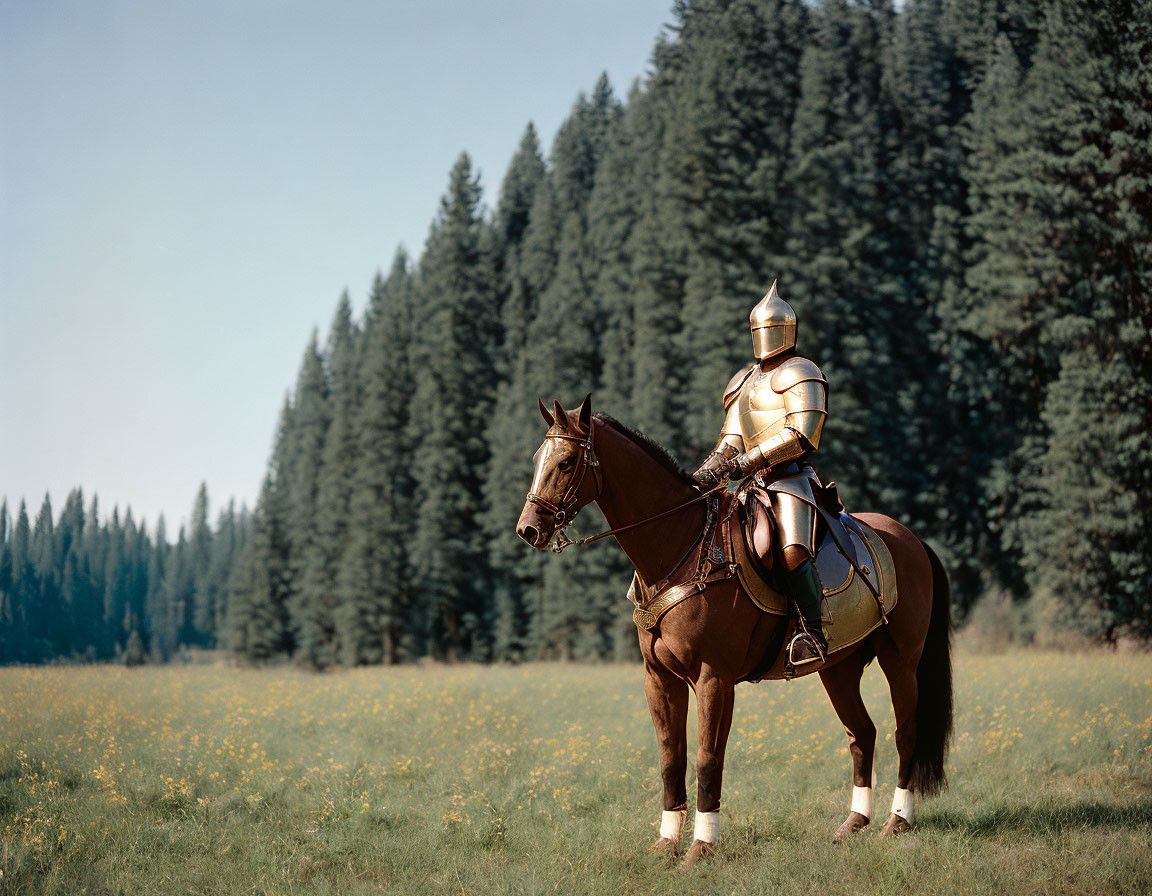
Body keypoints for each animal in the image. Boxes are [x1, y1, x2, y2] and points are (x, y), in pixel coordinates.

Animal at [518, 393, 949, 861]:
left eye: (566, 461)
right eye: (537, 457)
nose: (528, 529)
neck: (679, 546)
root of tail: (909, 539)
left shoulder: (714, 678)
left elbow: (708, 759)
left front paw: (700, 848)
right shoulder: (659, 678)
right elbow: (671, 758)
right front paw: (666, 843)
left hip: (900, 660)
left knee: (906, 732)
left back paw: (896, 822)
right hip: (839, 668)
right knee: (862, 734)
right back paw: (853, 824)